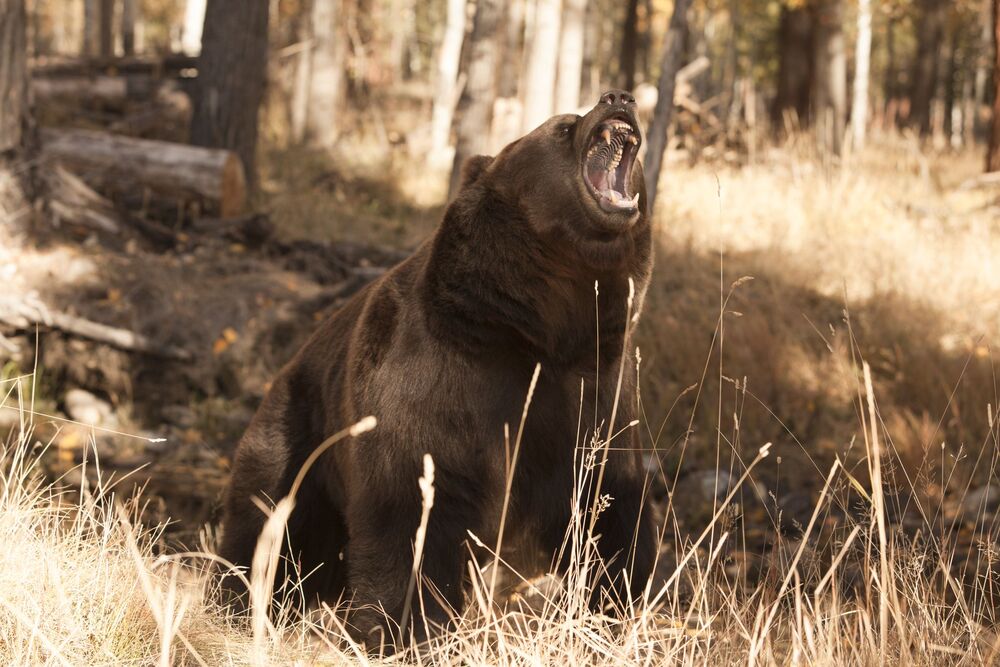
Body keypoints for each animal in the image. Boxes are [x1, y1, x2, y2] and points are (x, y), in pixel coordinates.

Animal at [219, 88, 656, 648]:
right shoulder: (443, 382)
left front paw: (613, 609)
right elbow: (413, 514)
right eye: (562, 127)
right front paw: (406, 629)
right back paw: (240, 602)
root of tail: (286, 363)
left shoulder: (591, 392)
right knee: (270, 519)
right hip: (303, 430)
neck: (541, 326)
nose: (619, 97)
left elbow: (609, 512)